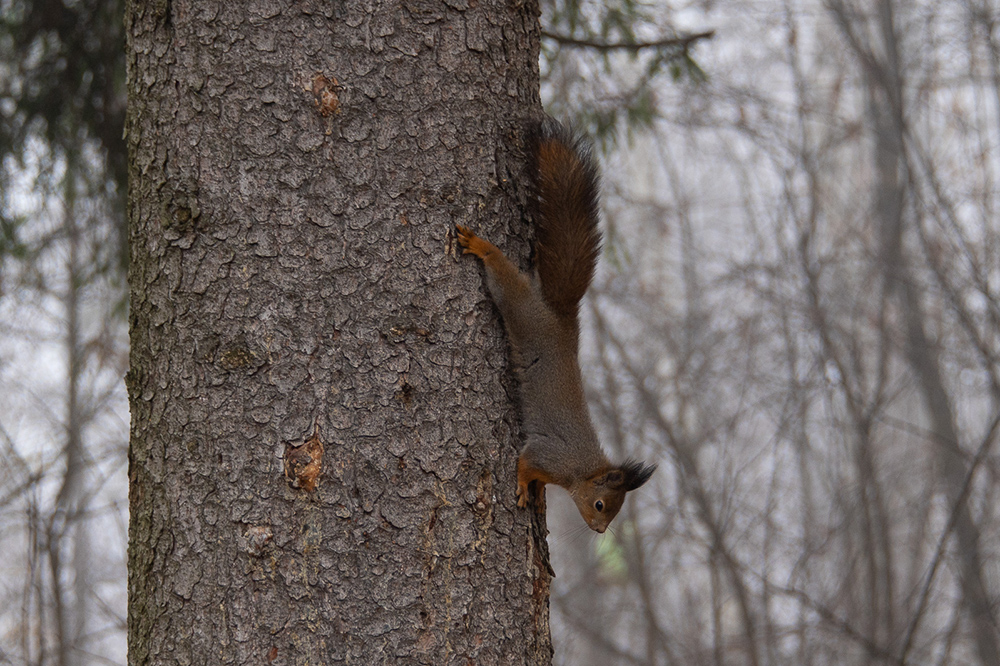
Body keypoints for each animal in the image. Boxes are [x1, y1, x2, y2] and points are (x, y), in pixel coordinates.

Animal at [456, 119, 656, 532]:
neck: (580, 471)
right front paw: (521, 486)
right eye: (601, 505)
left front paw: (532, 490)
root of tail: (561, 316)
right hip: (524, 312)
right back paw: (482, 246)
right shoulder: (548, 454)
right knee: (504, 280)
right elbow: (524, 462)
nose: (600, 530)